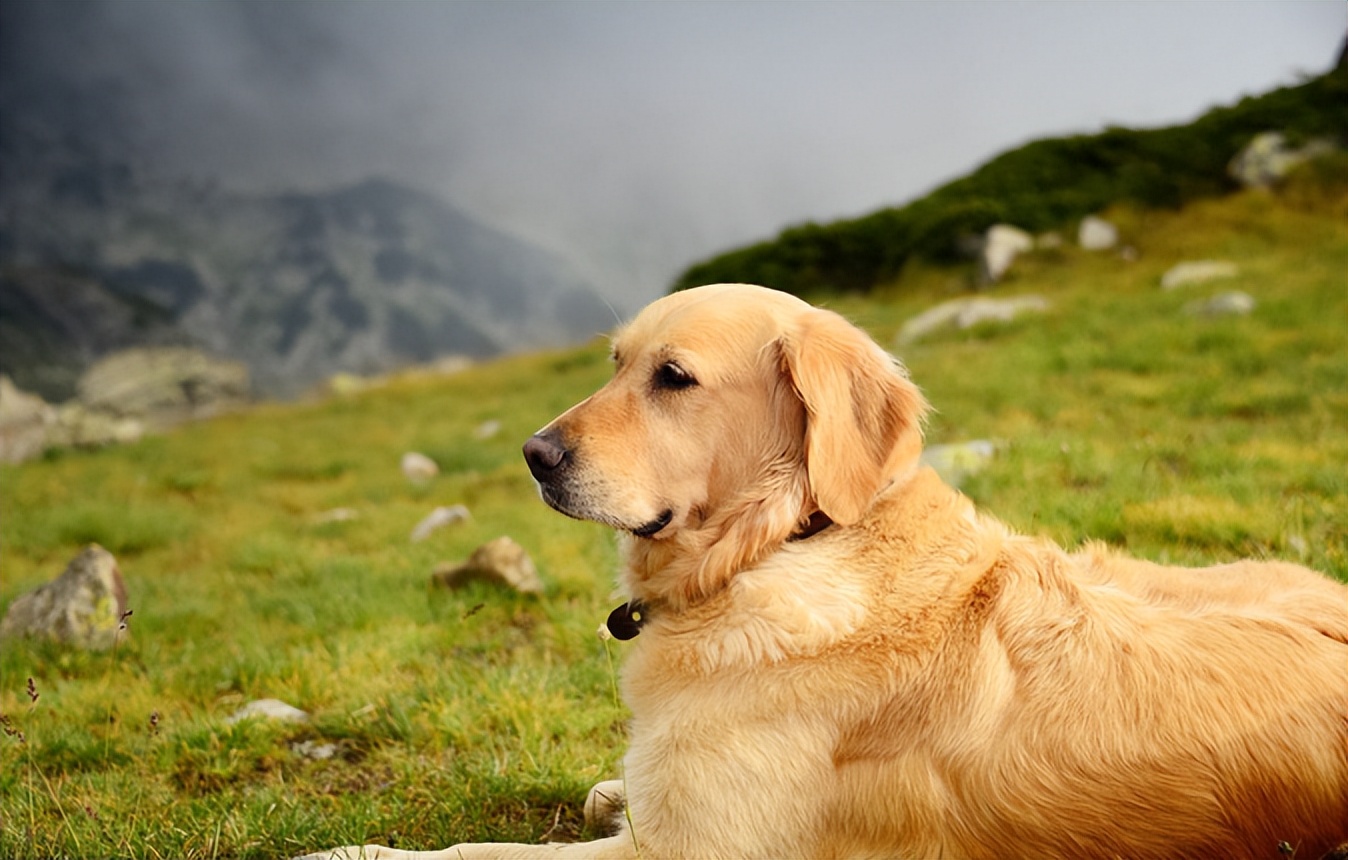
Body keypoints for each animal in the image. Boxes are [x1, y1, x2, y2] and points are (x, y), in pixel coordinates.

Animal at [305, 284, 1348, 860]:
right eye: (613, 363)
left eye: (673, 378)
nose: (532, 454)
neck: (782, 542)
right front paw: (611, 784)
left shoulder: (684, 857)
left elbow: (463, 852)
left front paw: (350, 852)